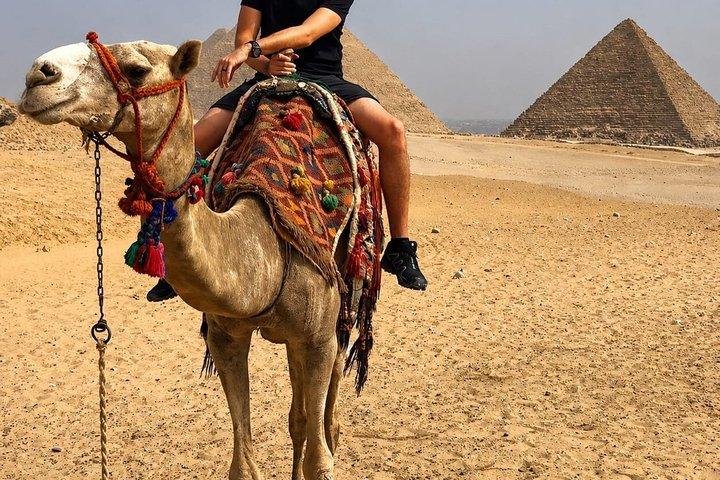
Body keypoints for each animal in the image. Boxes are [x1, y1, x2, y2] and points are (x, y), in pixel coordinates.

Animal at [20, 38, 353, 480]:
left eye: (137, 70)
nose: (38, 75)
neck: (268, 243)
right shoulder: (225, 336)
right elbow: (242, 462)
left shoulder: (317, 339)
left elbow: (320, 458)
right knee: (297, 416)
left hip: (340, 314)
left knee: (325, 415)